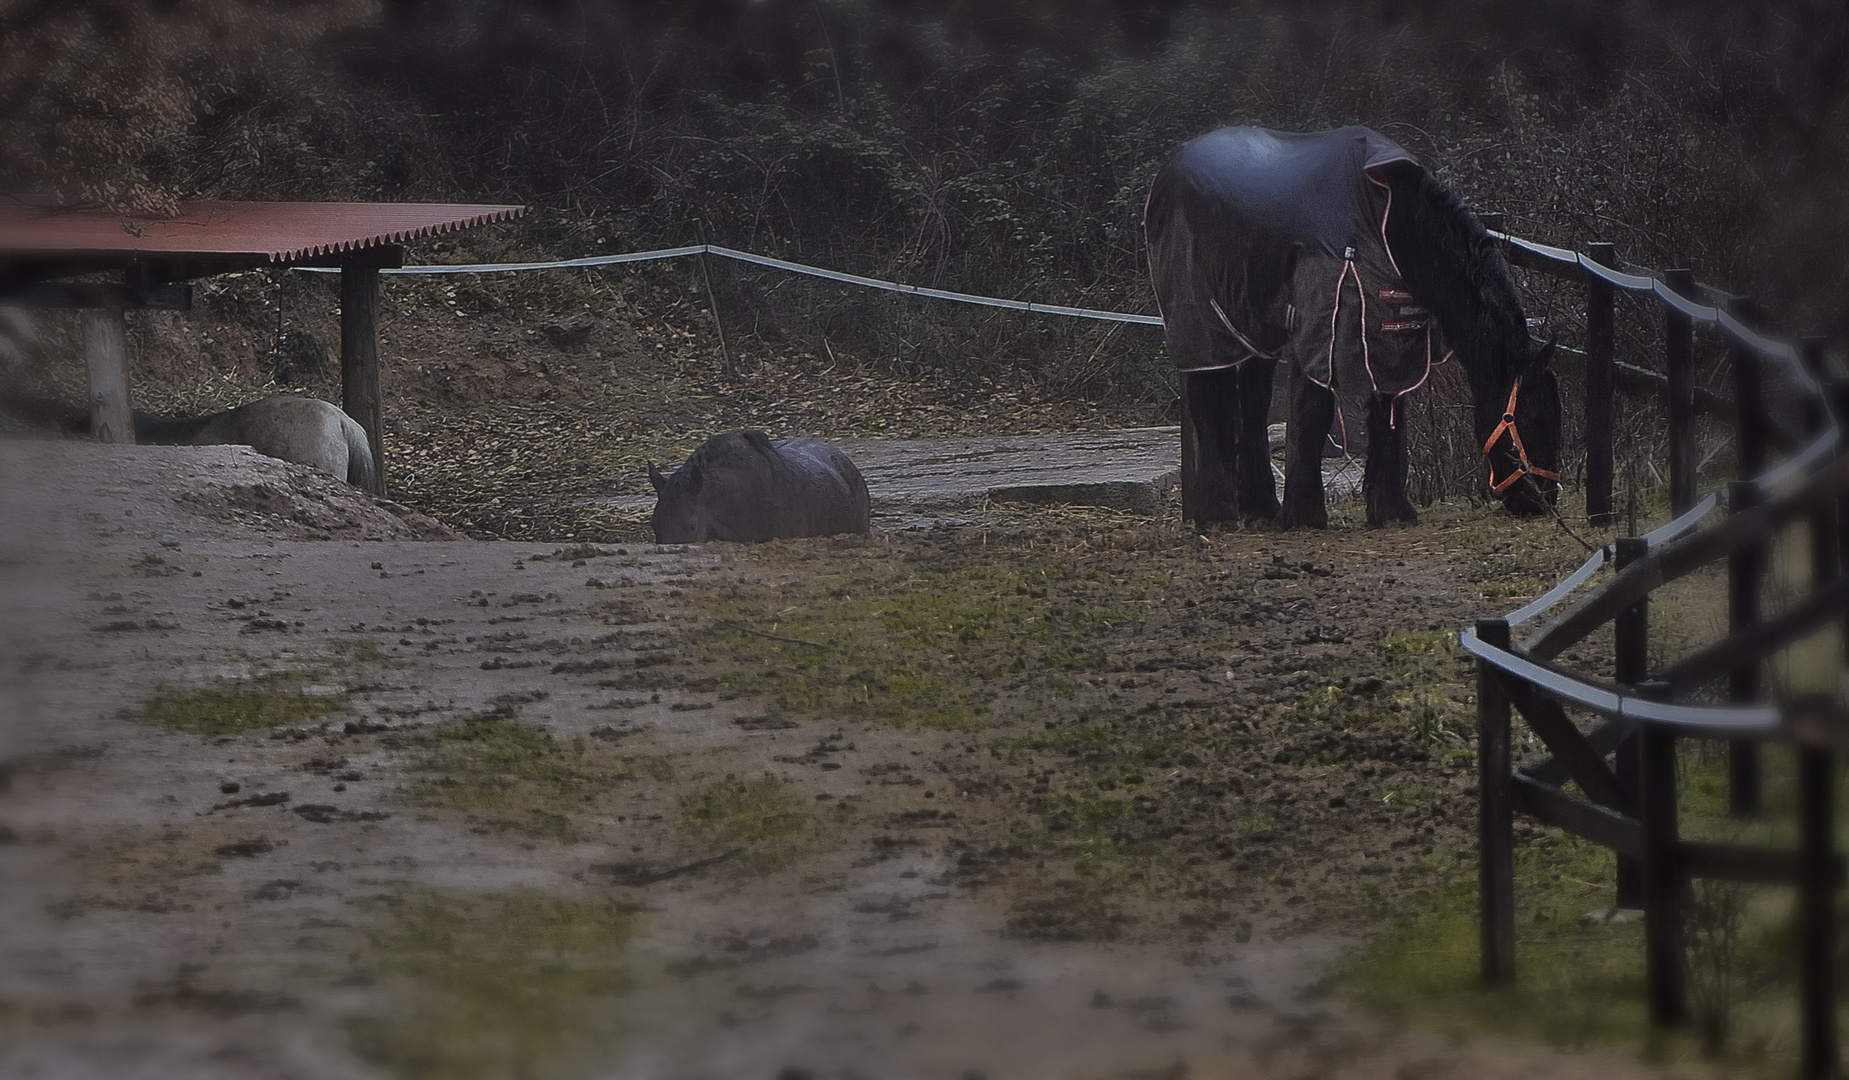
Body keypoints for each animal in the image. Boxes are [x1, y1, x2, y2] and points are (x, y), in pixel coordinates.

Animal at [1138, 126, 1560, 528]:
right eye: (1532, 418)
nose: (1543, 502)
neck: (1389, 222)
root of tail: (1170, 168)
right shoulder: (1324, 328)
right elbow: (1313, 414)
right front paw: (1305, 516)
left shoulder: (1392, 334)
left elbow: (1389, 414)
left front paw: (1390, 510)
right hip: (1200, 317)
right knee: (1205, 396)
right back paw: (1215, 514)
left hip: (1255, 328)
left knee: (1252, 405)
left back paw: (1260, 511)